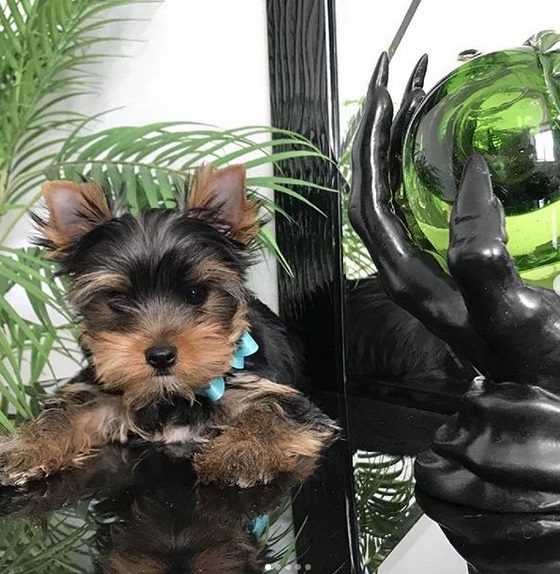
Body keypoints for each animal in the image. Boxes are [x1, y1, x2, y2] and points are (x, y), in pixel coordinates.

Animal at [0, 164, 336, 488]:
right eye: (118, 300)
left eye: (196, 293)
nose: (160, 356)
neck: (172, 393)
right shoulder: (100, 393)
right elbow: (63, 413)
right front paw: (23, 448)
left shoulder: (275, 391)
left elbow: (271, 409)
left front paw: (241, 451)